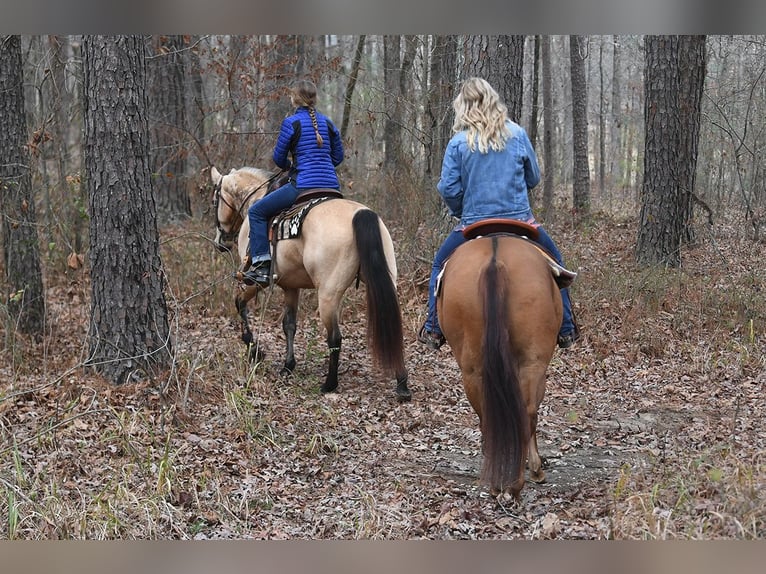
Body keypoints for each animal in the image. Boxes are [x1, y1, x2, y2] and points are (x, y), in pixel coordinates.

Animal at [210, 164, 414, 402]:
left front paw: (254, 350)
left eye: (215, 200)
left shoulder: (255, 281)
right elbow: (289, 324)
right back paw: (402, 384)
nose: (220, 243)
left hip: (327, 294)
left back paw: (329, 384)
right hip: (386, 281)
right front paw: (288, 365)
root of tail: (361, 213)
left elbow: (240, 304)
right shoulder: (291, 286)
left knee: (335, 338)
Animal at [436, 219, 568, 500]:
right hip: (533, 362)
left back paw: (498, 480)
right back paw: (520, 480)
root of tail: (495, 261)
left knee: (488, 415)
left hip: (472, 368)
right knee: (527, 412)